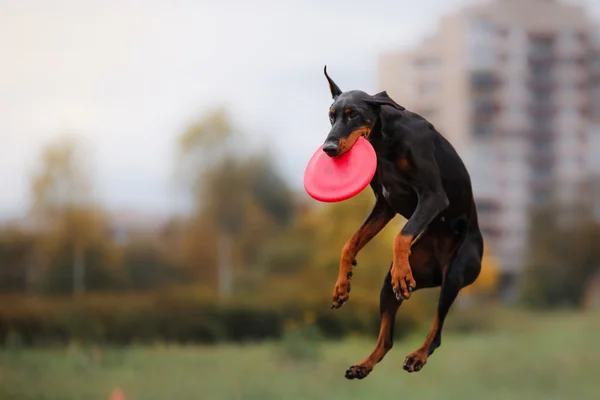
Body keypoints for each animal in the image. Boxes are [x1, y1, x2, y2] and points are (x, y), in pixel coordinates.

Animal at [322, 65, 486, 378]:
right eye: (331, 115)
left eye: (353, 114)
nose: (328, 148)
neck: (383, 142)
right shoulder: (384, 205)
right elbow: (350, 243)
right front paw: (341, 285)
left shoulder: (433, 197)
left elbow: (401, 235)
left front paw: (401, 273)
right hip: (394, 283)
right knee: (387, 339)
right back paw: (362, 366)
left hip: (455, 275)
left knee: (437, 331)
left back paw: (418, 355)